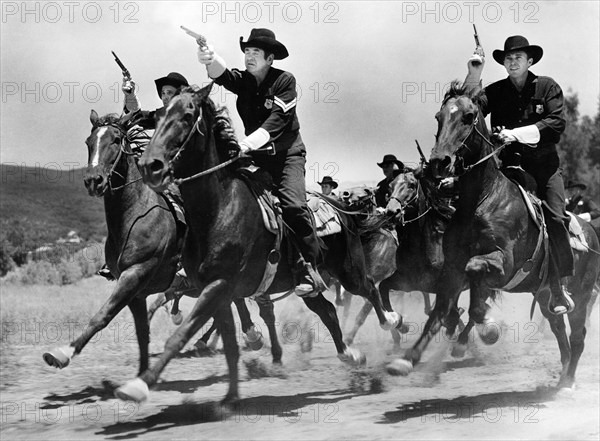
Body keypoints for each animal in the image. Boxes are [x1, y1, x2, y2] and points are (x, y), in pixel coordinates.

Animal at [116, 82, 398, 402]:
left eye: (188, 116)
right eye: (157, 116)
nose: (150, 165)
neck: (219, 209)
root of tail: (339, 207)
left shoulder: (218, 285)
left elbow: (182, 333)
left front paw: (140, 384)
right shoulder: (217, 290)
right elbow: (227, 340)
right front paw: (229, 396)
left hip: (348, 272)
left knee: (369, 289)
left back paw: (391, 322)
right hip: (308, 284)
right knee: (326, 310)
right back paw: (350, 354)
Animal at [390, 82, 600, 388]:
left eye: (468, 116)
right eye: (439, 117)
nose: (439, 161)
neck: (482, 200)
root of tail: (591, 232)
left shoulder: (503, 263)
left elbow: (475, 273)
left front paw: (486, 328)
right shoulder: (451, 271)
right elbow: (439, 313)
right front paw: (407, 359)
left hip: (582, 295)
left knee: (577, 335)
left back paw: (568, 380)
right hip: (545, 296)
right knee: (559, 330)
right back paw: (562, 373)